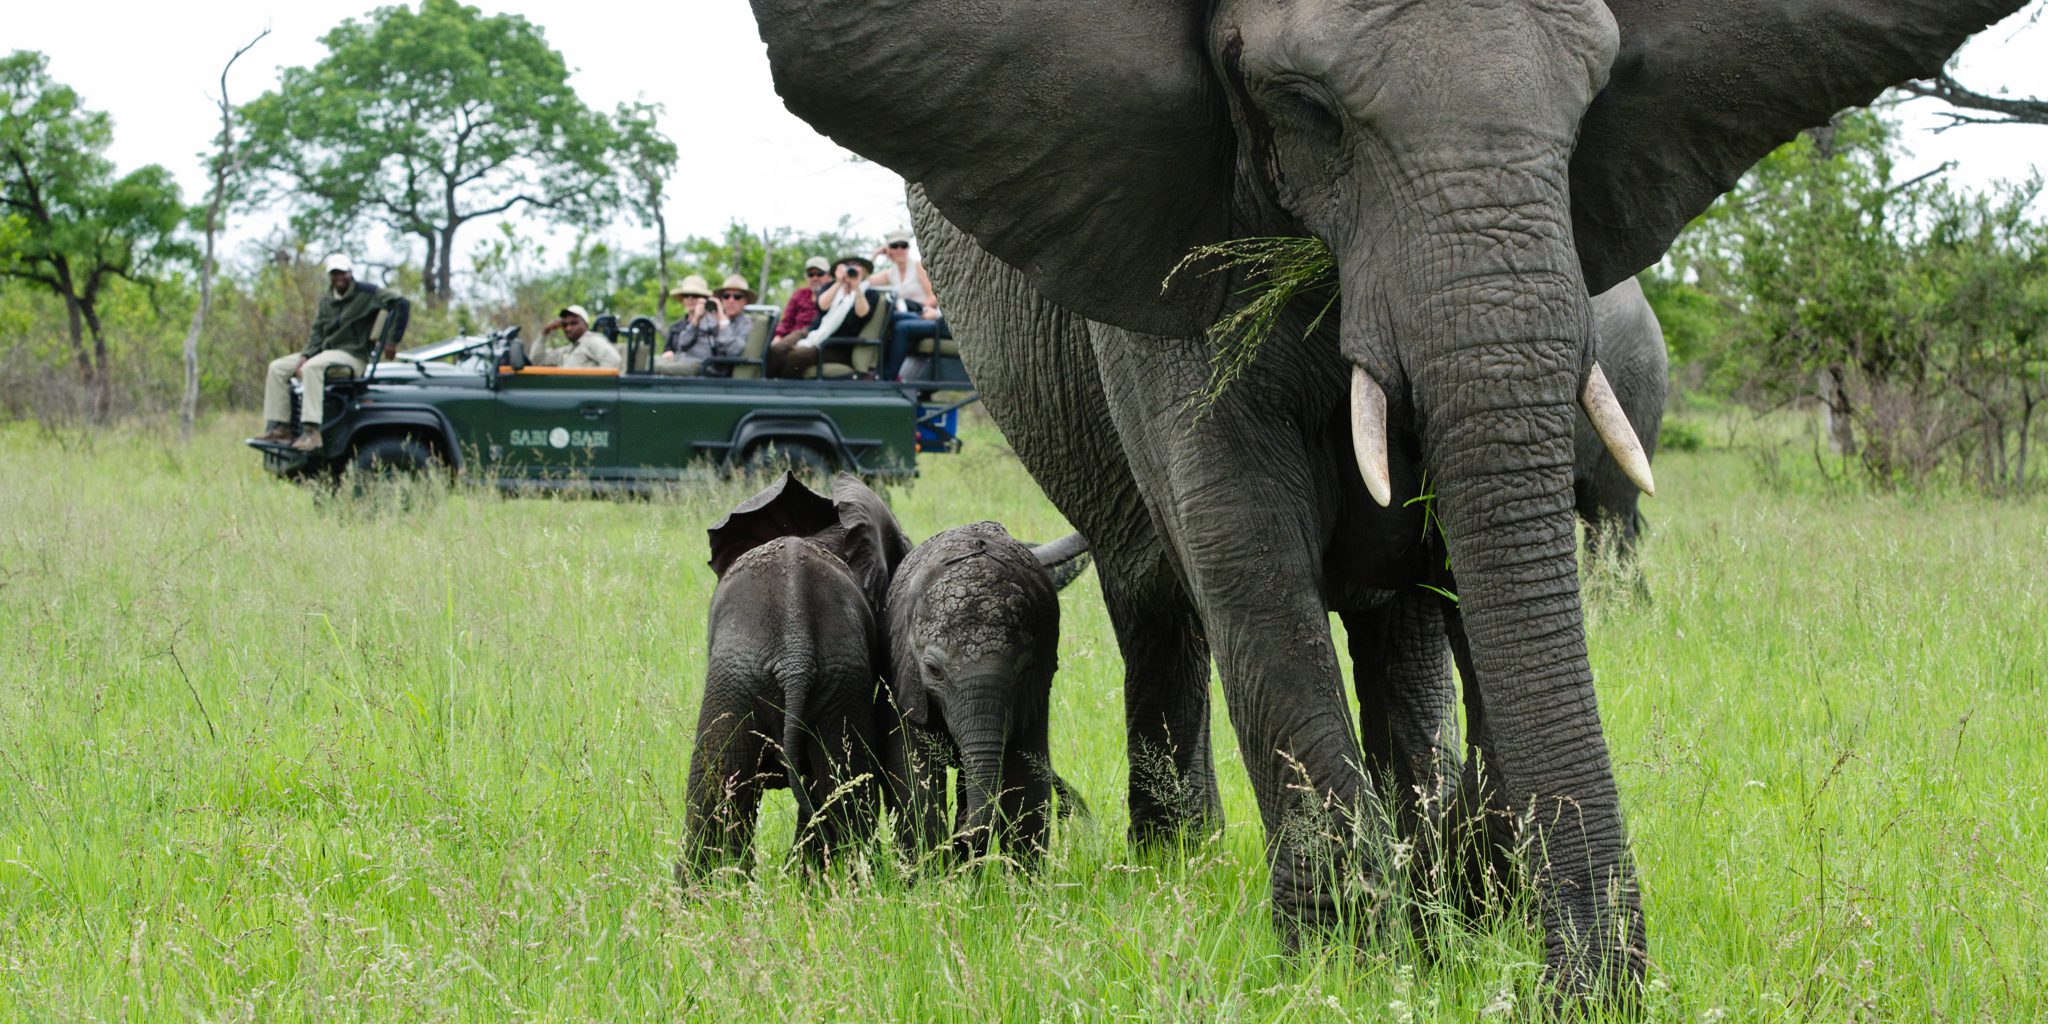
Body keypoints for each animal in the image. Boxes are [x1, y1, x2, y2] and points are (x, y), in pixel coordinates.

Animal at [886, 522, 1091, 861]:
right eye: (934, 670)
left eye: (1023, 672)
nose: (961, 828)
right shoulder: (906, 680)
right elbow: (916, 780)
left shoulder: (1035, 690)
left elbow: (1026, 786)